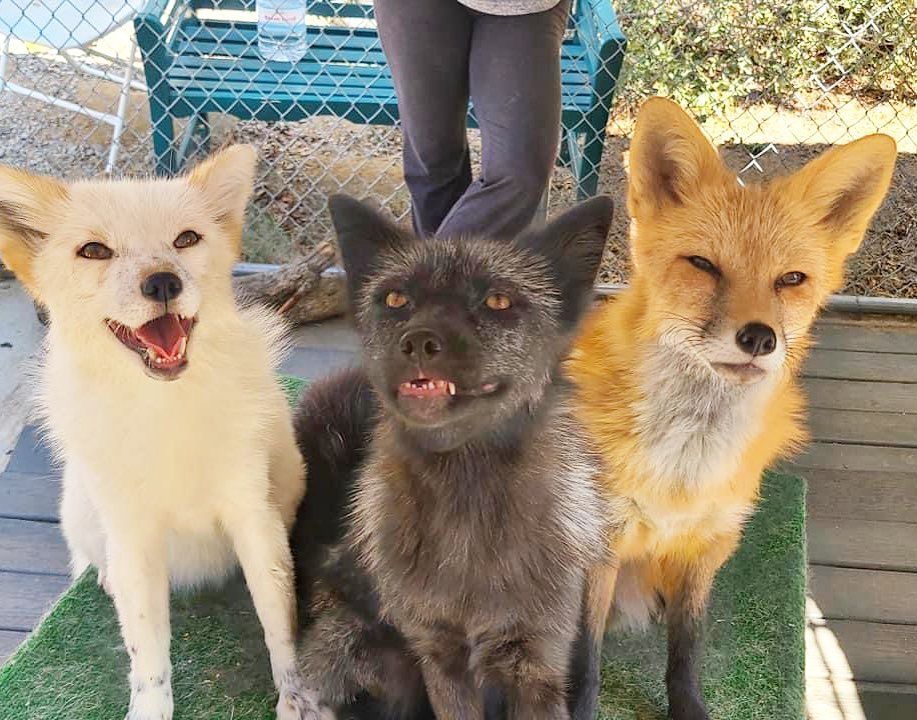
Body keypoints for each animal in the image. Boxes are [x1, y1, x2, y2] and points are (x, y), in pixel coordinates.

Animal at [0, 147, 318, 720]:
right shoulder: (134, 537)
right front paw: (150, 706)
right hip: (81, 511)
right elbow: (146, 650)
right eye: (94, 250)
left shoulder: (255, 519)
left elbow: (281, 624)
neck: (165, 407)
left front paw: (299, 694)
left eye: (186, 239)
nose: (164, 283)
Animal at [566, 97, 897, 720]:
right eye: (703, 265)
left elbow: (687, 646)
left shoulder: (709, 543)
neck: (684, 465)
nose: (759, 338)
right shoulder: (599, 542)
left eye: (791, 279)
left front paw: (688, 705)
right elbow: (583, 657)